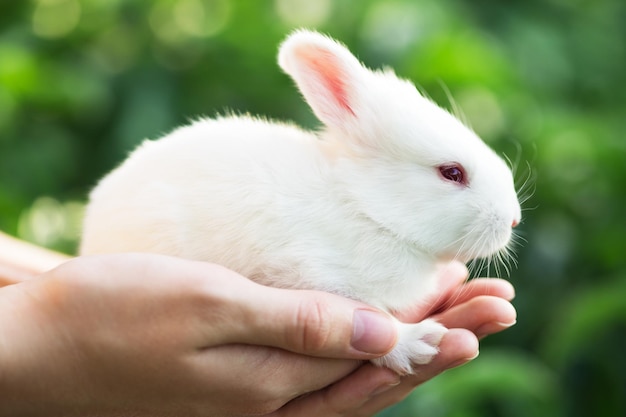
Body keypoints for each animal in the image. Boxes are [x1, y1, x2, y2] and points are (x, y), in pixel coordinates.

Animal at [83, 29, 520, 374]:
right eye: (452, 173)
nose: (513, 220)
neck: (364, 207)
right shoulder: (314, 275)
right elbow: (379, 323)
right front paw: (418, 344)